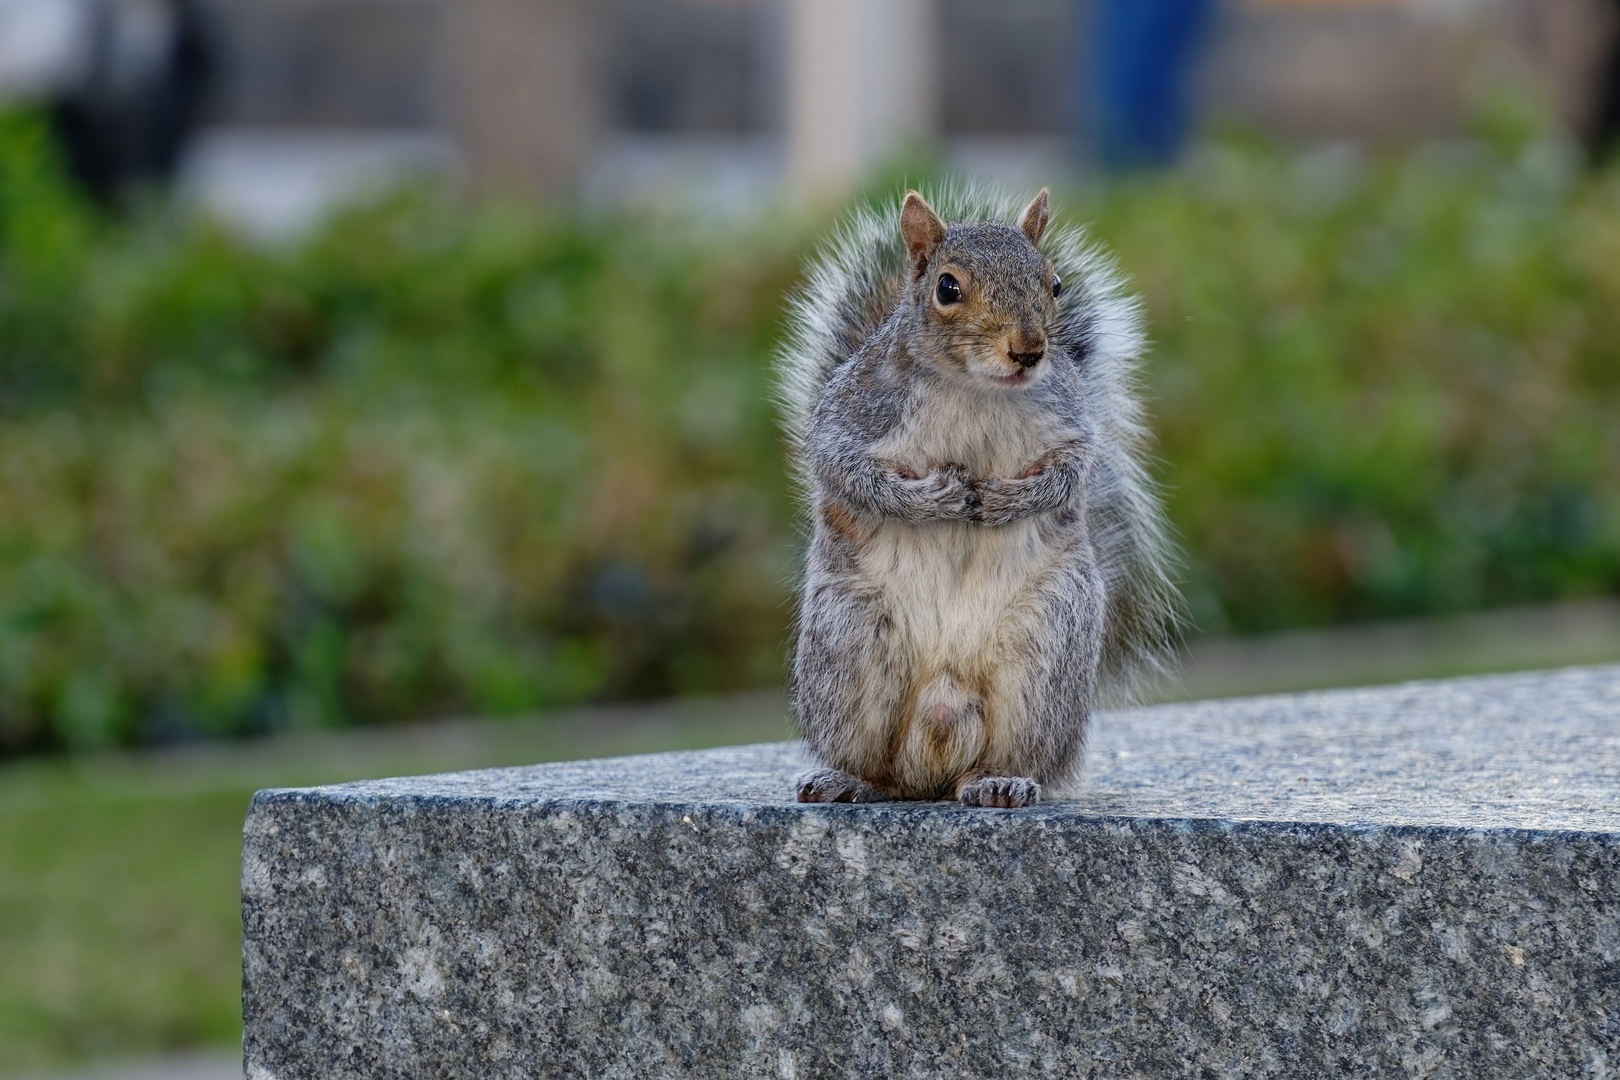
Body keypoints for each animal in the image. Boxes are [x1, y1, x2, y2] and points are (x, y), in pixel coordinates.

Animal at [771, 187, 1179, 809]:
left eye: (1055, 283)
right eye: (947, 288)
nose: (1029, 349)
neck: (975, 389)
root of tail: (936, 751)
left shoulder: (1072, 423)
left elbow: (1071, 473)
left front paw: (1011, 499)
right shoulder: (852, 412)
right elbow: (845, 470)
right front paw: (931, 500)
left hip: (1045, 655)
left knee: (1010, 754)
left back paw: (1000, 780)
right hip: (850, 646)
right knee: (882, 770)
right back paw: (849, 779)